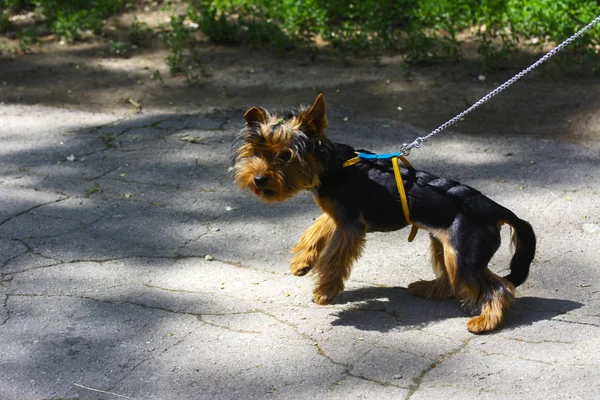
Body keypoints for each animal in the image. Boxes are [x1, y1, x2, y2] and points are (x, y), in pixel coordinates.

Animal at [232, 94, 536, 334]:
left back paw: (485, 321)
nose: (258, 179)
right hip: (445, 244)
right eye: (255, 152)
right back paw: (428, 288)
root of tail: (494, 208)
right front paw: (302, 262)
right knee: (453, 279)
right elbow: (316, 229)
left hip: (463, 253)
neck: (331, 165)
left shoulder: (350, 226)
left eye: (286, 155)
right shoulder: (337, 215)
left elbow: (334, 259)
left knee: (498, 287)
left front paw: (325, 291)